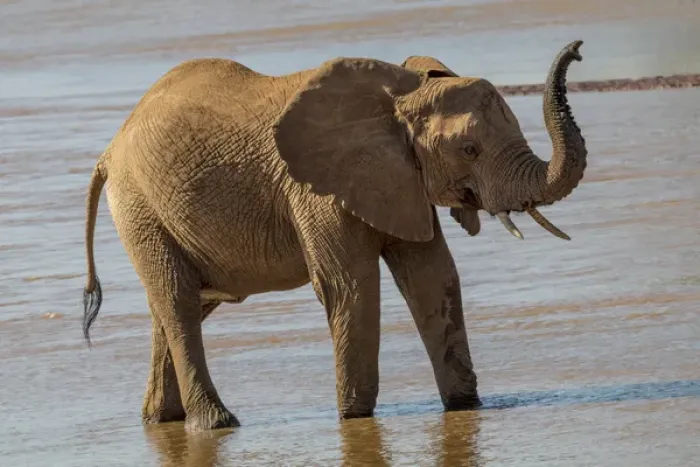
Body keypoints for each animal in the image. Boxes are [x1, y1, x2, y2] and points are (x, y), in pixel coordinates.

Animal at [82, 40, 587, 432]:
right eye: (469, 149)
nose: (578, 50)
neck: (401, 94)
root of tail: (110, 149)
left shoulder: (402, 181)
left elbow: (434, 279)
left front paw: (466, 408)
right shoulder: (314, 190)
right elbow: (351, 288)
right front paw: (354, 419)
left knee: (179, 305)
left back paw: (160, 420)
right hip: (140, 206)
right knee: (178, 301)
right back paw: (217, 424)